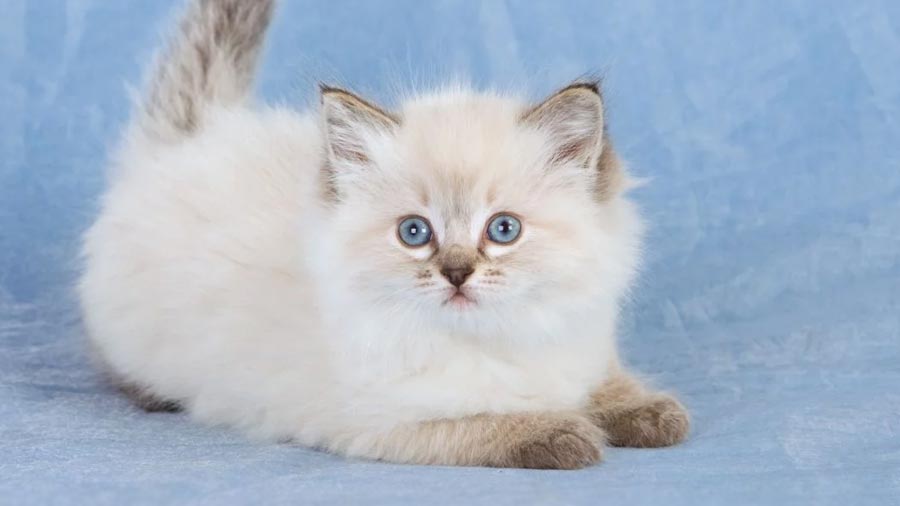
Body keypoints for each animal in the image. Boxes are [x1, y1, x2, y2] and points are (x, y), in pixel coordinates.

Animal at [81, 0, 692, 468]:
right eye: (415, 233)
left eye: (503, 229)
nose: (456, 273)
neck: (496, 339)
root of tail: (188, 139)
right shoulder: (382, 420)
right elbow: (484, 422)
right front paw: (563, 433)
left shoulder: (581, 346)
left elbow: (604, 382)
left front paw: (650, 413)